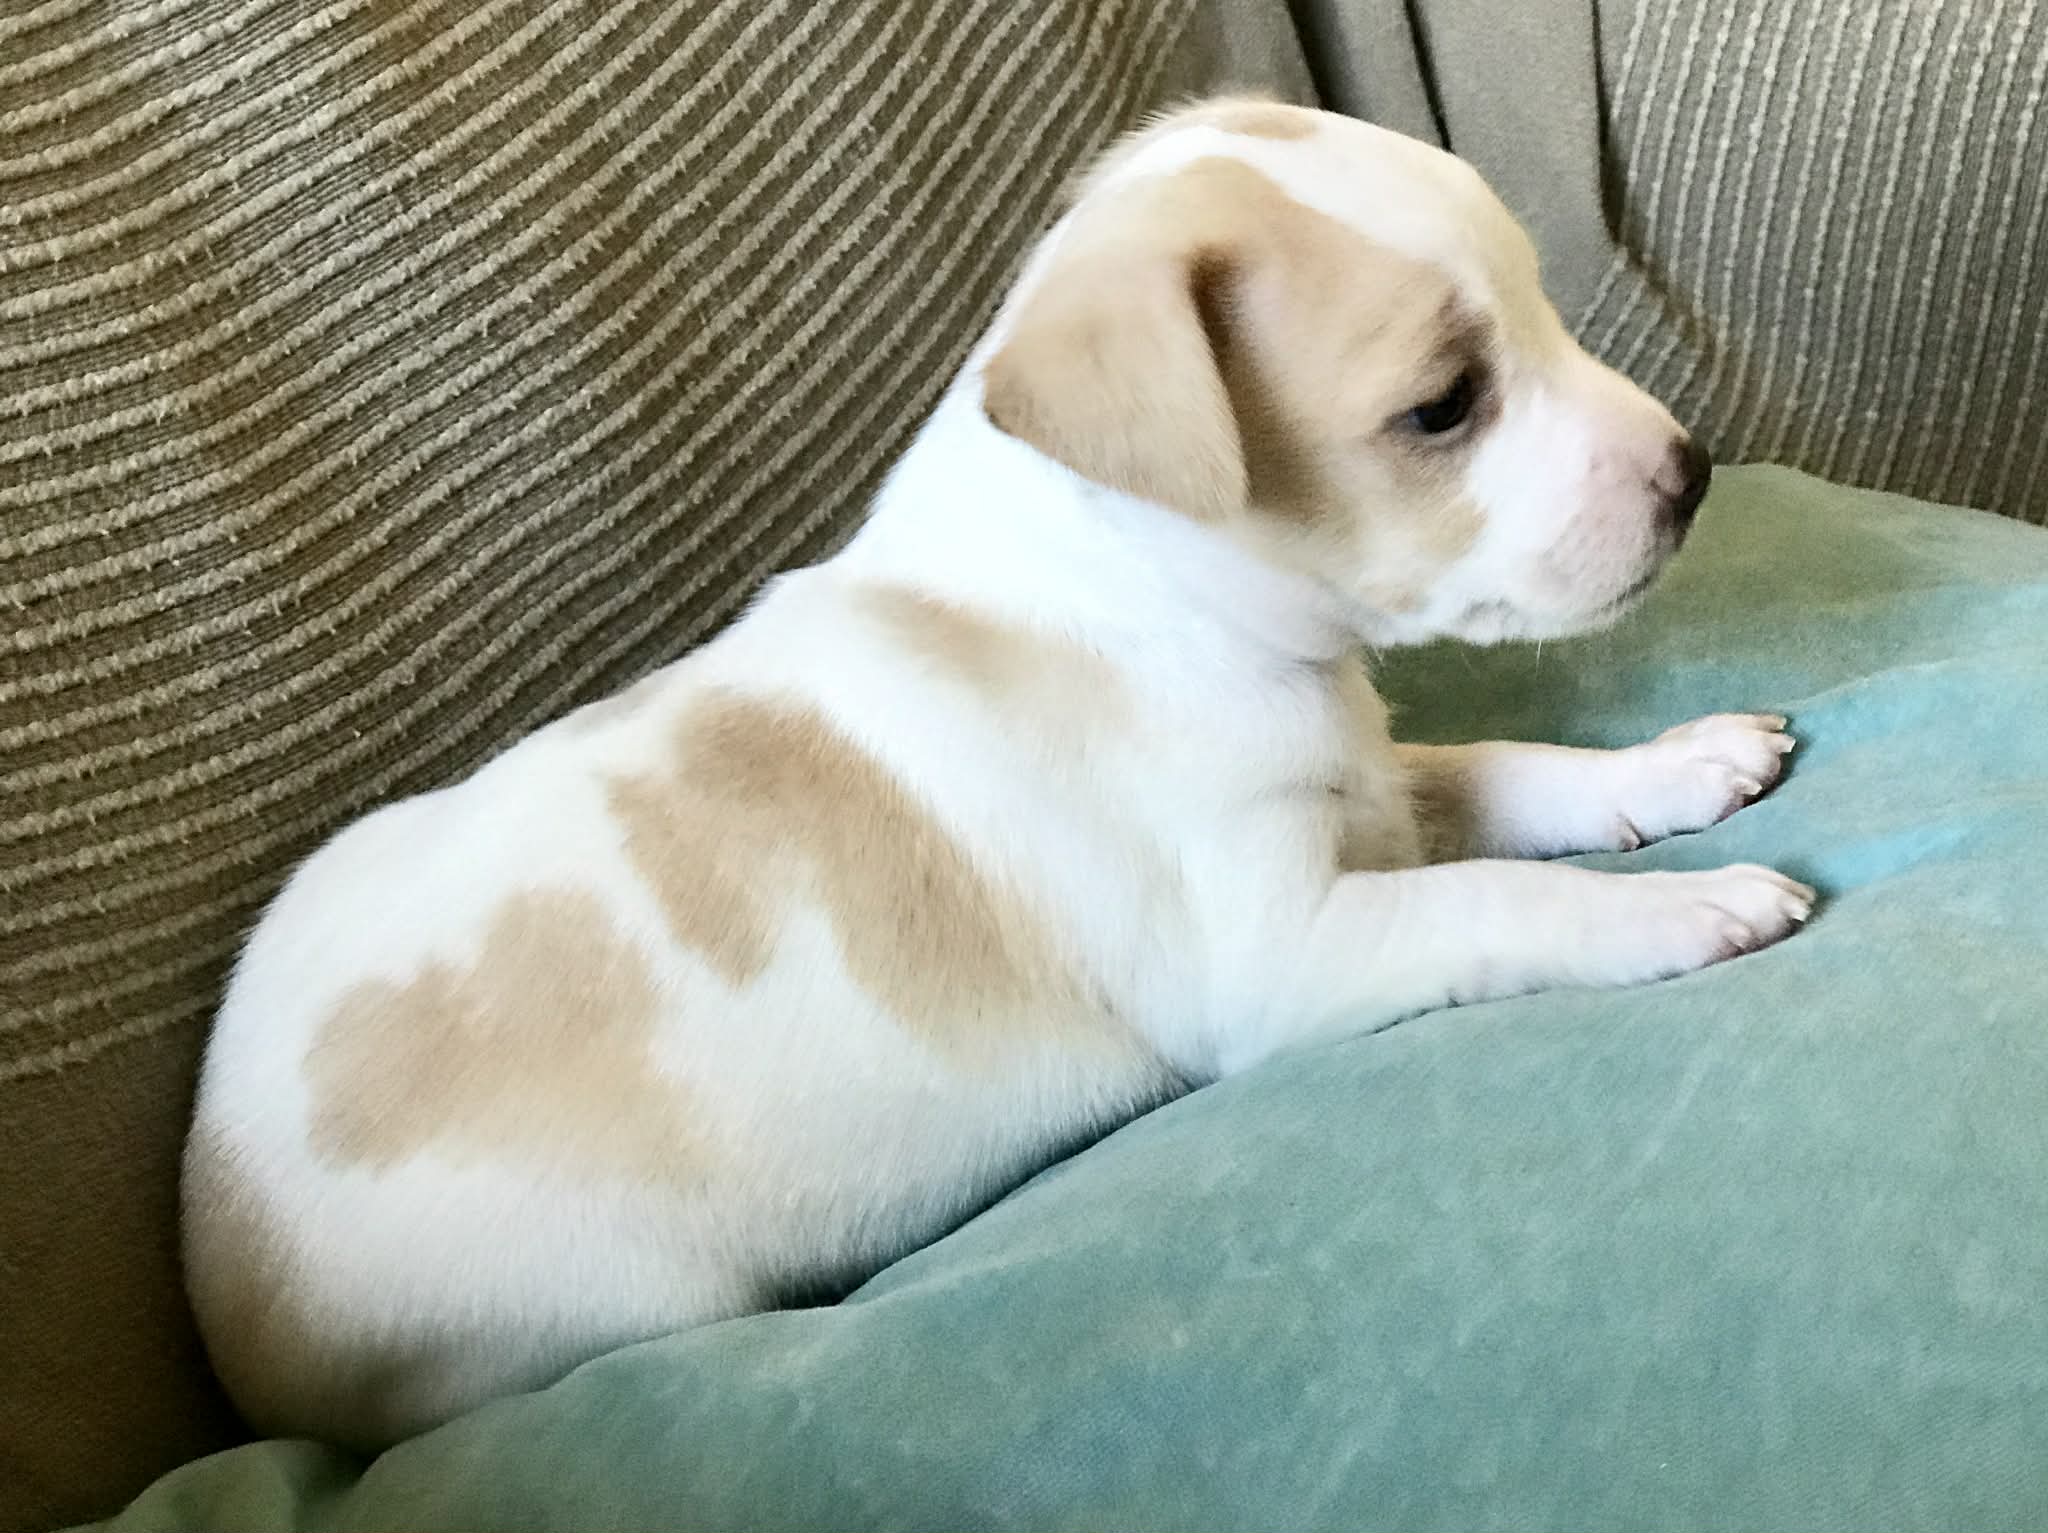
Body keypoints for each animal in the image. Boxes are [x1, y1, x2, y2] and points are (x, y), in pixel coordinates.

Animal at [184, 97, 1812, 1449]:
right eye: (1442, 406)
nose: (1692, 470)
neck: (1151, 600)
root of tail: (225, 1277)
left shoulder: (1366, 797)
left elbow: (1504, 773)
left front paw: (1675, 767)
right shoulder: (1275, 957)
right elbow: (1493, 897)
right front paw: (1681, 909)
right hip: (615, 1297)